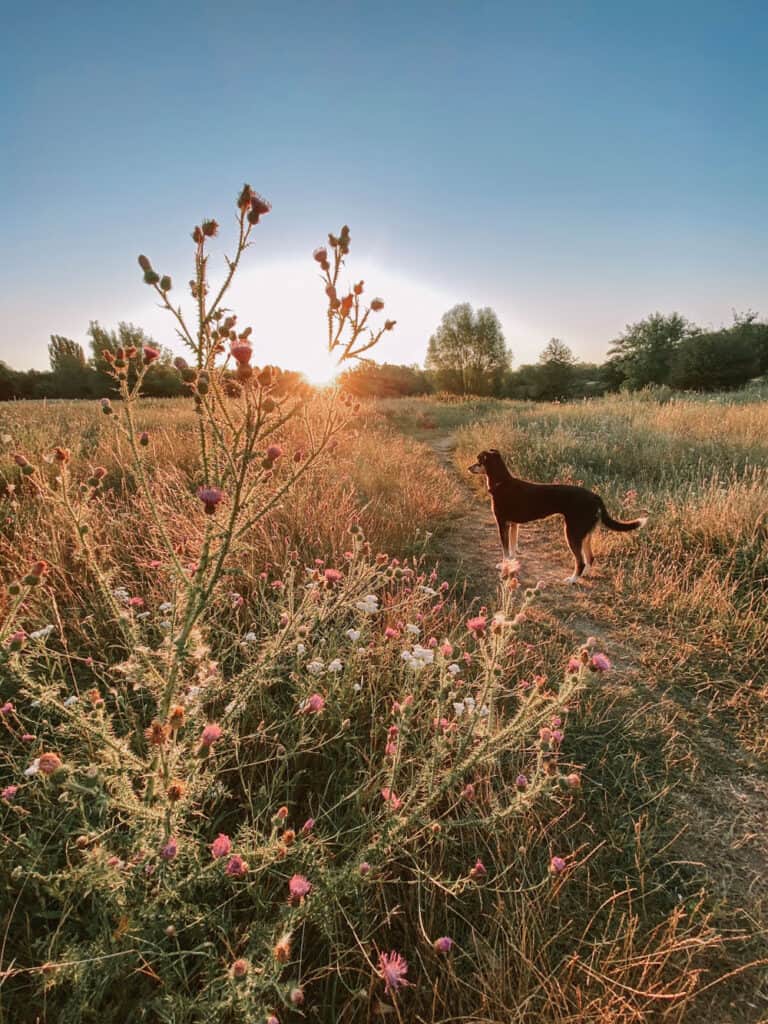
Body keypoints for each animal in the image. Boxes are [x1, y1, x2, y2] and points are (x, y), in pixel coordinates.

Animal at [468, 450, 651, 585]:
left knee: (581, 561)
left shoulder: (502, 523)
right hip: (585, 534)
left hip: (572, 533)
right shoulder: (513, 525)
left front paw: (503, 566)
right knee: (590, 558)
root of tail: (595, 497)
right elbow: (512, 549)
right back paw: (584, 575)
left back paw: (572, 580)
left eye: (479, 460)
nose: (469, 468)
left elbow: (505, 550)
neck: (502, 482)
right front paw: (511, 564)